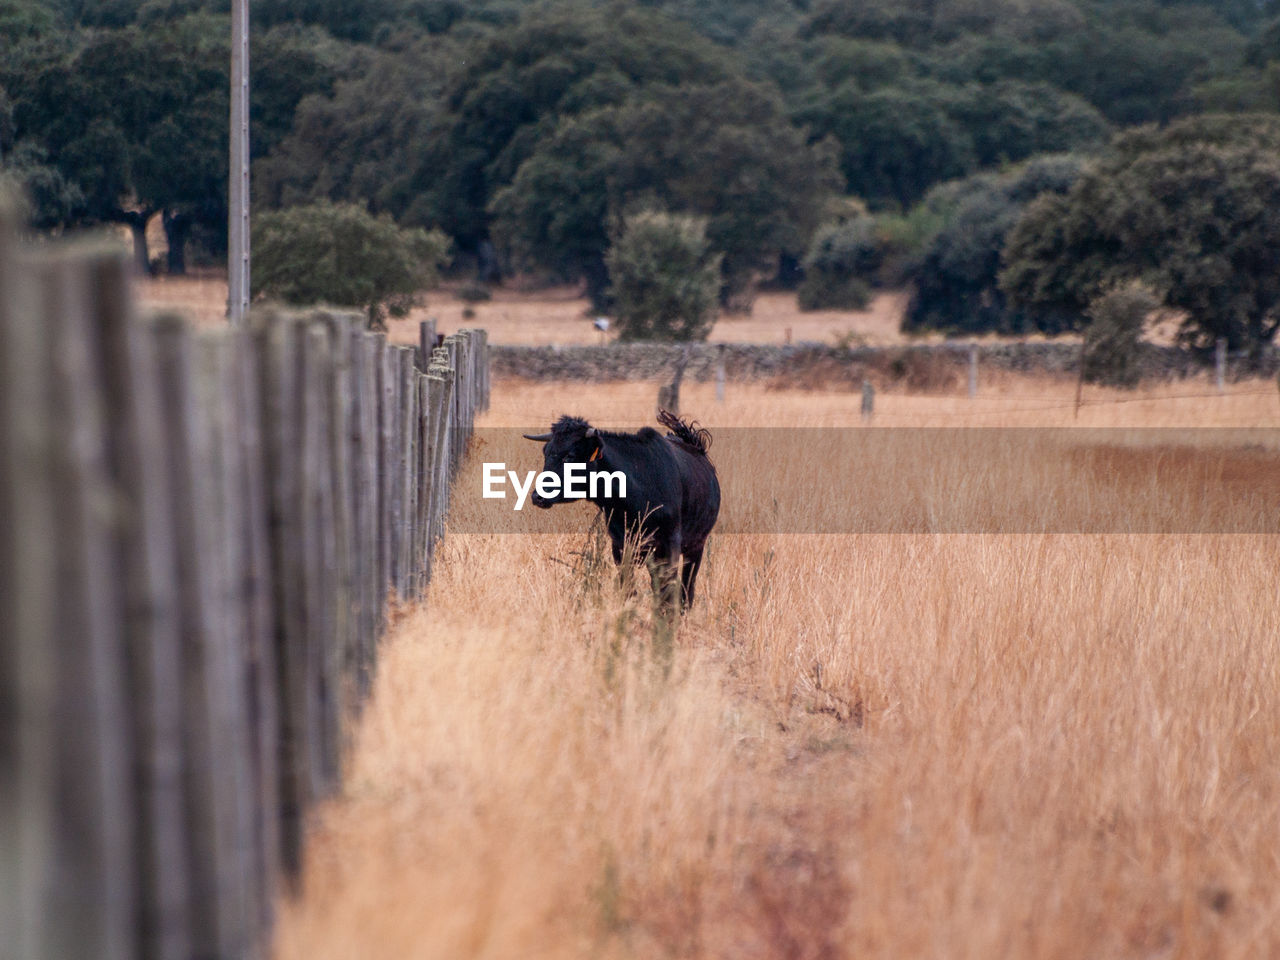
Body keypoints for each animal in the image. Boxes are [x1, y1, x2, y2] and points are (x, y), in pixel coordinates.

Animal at [522, 412, 721, 609]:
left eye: (569, 456)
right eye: (546, 452)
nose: (537, 496)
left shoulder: (669, 546)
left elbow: (668, 592)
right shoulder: (620, 546)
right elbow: (629, 589)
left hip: (696, 547)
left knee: (687, 589)